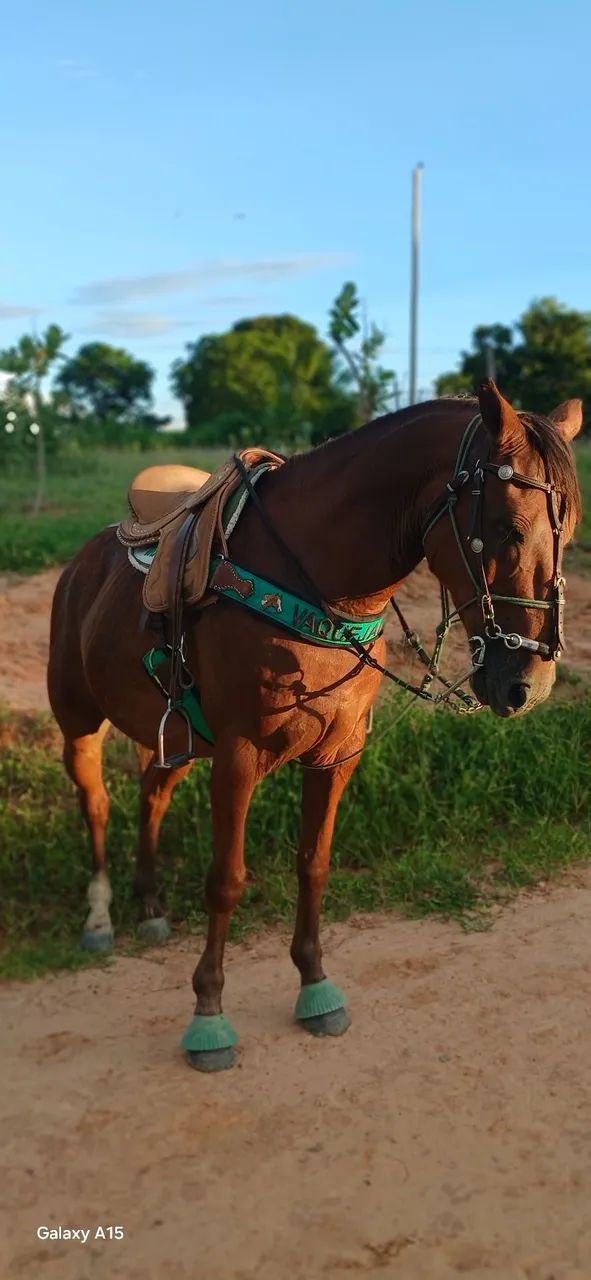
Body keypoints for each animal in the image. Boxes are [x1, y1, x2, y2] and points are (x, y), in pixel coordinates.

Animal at [47, 381, 582, 1071]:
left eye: (570, 529)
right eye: (507, 529)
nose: (529, 684)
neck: (318, 583)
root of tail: (81, 564)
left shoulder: (338, 752)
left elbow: (315, 863)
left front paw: (316, 986)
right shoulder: (238, 755)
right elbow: (226, 881)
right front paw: (209, 1017)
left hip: (175, 736)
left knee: (150, 796)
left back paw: (150, 905)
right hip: (79, 723)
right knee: (96, 803)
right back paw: (100, 918)